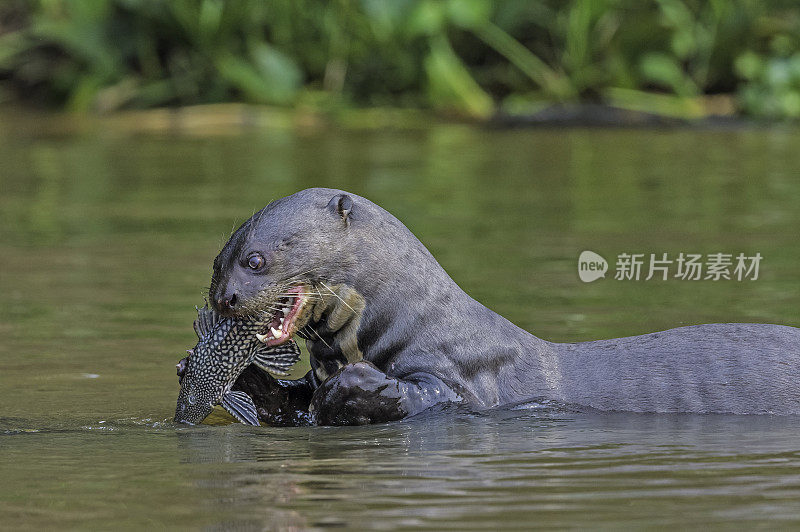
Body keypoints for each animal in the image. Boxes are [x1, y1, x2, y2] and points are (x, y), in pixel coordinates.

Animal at [209, 189, 800, 426]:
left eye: (256, 260)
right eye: (219, 261)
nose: (224, 297)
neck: (415, 320)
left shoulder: (467, 379)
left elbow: (429, 397)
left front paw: (356, 388)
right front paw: (250, 383)